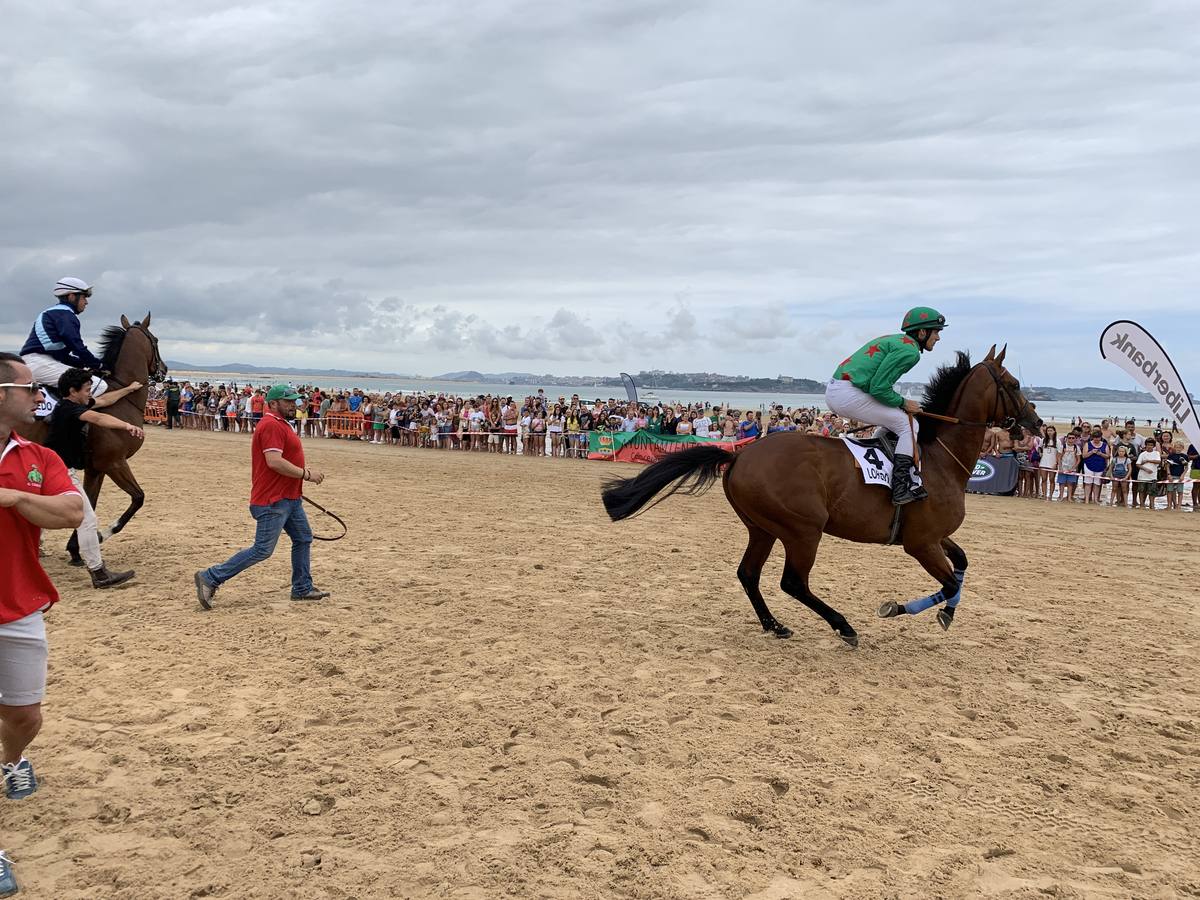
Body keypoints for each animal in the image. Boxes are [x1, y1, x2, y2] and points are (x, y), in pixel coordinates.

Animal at [19, 314, 169, 561]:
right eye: (155, 340)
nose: (164, 370)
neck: (121, 398)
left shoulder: (96, 468)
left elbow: (90, 502)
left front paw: (75, 548)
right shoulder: (114, 463)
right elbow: (138, 498)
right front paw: (101, 535)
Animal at [604, 345, 1036, 648]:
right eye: (1014, 385)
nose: (1034, 421)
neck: (939, 457)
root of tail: (740, 453)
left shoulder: (933, 536)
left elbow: (961, 566)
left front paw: (946, 615)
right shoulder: (920, 543)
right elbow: (949, 583)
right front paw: (896, 608)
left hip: (763, 528)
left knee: (749, 574)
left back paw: (775, 625)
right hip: (803, 529)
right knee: (793, 582)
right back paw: (844, 626)